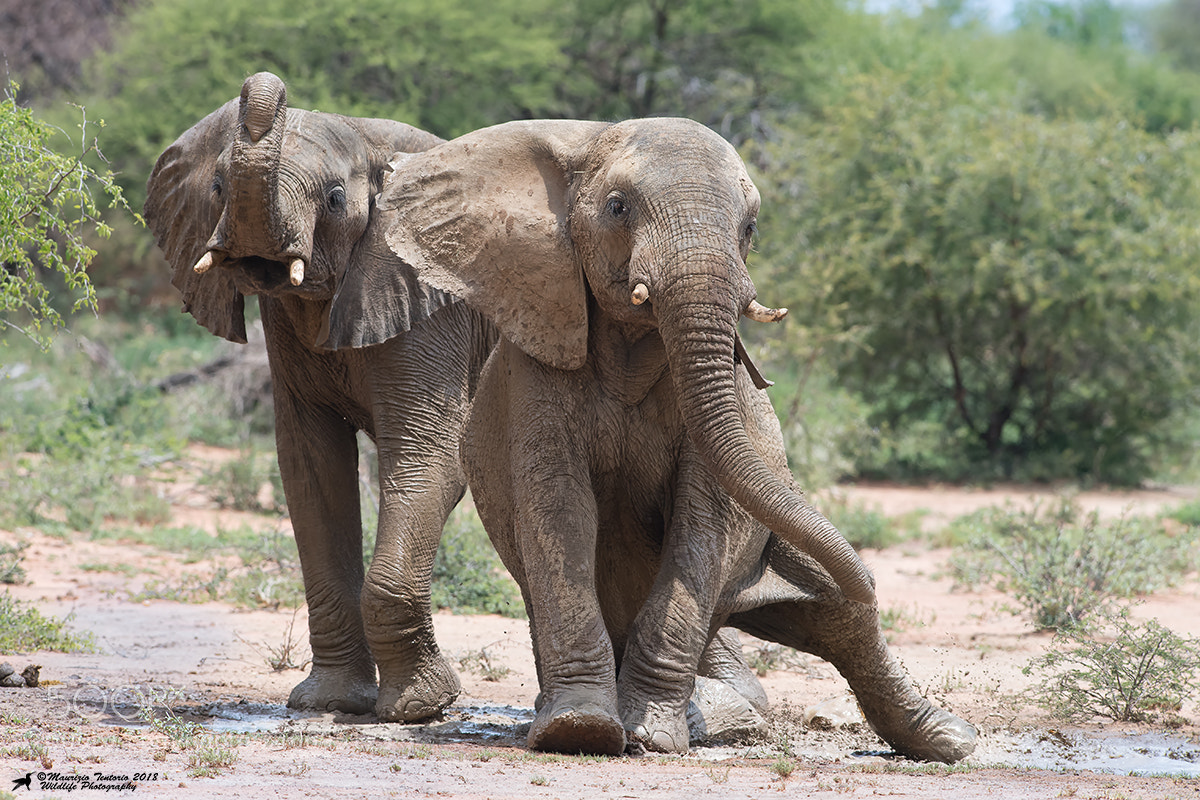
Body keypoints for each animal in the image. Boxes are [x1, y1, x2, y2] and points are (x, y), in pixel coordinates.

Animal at [144, 72, 497, 722]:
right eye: (216, 187)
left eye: (334, 198)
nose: (265, 83)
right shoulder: (283, 320)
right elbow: (310, 467)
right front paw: (329, 702)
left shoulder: (431, 306)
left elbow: (427, 459)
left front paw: (419, 708)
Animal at [319, 117, 977, 761]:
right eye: (617, 207)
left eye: (751, 228)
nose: (873, 576)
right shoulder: (538, 364)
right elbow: (560, 512)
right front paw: (580, 731)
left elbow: (700, 518)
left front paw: (653, 735)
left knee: (841, 616)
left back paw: (946, 740)